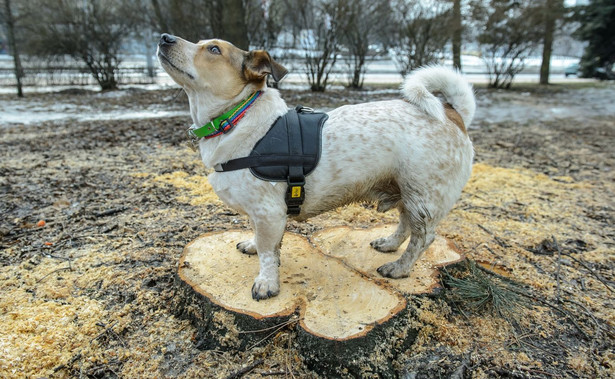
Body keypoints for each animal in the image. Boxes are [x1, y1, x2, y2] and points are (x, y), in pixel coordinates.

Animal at [159, 34, 476, 302]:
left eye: (214, 50)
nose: (165, 37)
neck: (237, 117)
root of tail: (452, 113)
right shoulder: (263, 214)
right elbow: (262, 241)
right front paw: (251, 244)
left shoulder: (269, 213)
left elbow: (268, 253)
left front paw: (267, 282)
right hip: (405, 192)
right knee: (405, 224)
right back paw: (389, 244)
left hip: (422, 197)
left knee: (423, 238)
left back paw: (399, 267)